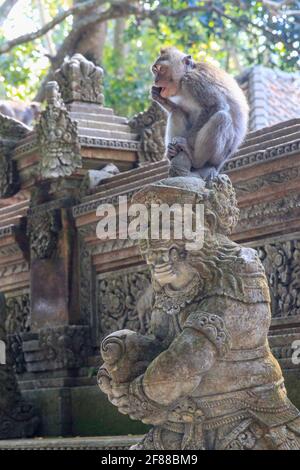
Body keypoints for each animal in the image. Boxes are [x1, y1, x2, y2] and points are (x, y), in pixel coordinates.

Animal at [152, 46, 248, 178]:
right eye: (154, 70)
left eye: (161, 69)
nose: (156, 80)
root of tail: (220, 165)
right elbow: (181, 110)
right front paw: (158, 97)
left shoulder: (194, 81)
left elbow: (216, 105)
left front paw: (187, 142)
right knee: (176, 112)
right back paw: (172, 154)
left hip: (219, 157)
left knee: (222, 118)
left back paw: (194, 157)